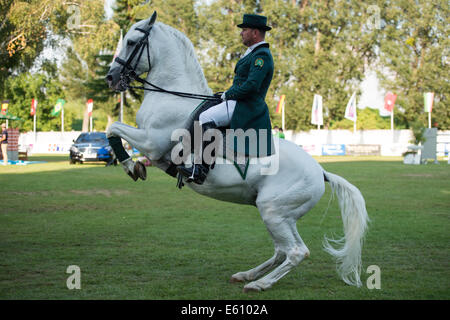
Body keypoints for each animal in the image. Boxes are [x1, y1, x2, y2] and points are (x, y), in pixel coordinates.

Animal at [105, 12, 370, 292]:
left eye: (131, 42)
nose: (110, 78)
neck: (173, 96)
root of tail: (321, 171)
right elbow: (112, 129)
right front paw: (133, 165)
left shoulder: (151, 142)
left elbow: (112, 128)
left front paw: (131, 166)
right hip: (283, 216)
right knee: (282, 251)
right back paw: (247, 275)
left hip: (272, 211)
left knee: (296, 252)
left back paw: (259, 284)